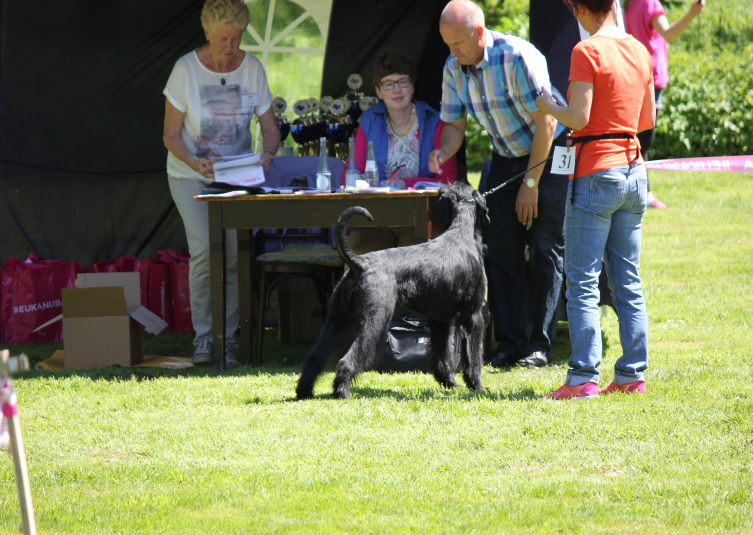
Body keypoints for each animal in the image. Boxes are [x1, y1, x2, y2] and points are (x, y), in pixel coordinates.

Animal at [294, 182, 488, 400]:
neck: (462, 232)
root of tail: (359, 263)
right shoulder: (473, 317)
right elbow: (473, 356)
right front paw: (478, 387)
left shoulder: (441, 320)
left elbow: (442, 355)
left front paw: (449, 383)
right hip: (374, 319)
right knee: (347, 359)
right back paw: (342, 392)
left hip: (338, 319)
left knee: (316, 355)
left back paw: (304, 391)